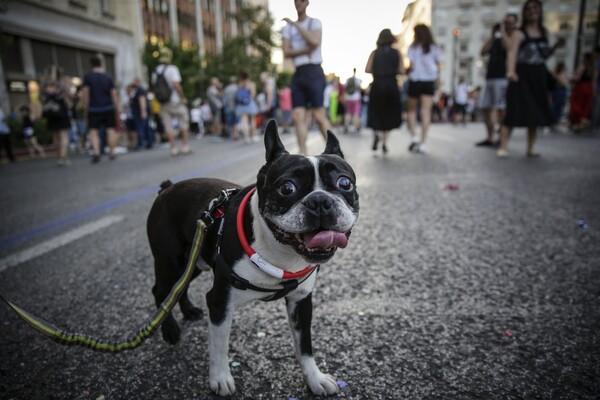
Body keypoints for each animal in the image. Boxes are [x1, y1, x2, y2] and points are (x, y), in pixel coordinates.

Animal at [147, 122, 358, 396]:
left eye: (345, 183)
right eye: (287, 188)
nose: (320, 200)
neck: (280, 253)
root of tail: (167, 188)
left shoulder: (301, 302)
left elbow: (305, 346)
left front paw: (315, 379)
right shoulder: (220, 302)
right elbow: (219, 346)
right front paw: (220, 379)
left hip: (194, 262)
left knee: (179, 286)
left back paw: (189, 311)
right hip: (170, 260)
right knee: (161, 289)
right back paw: (169, 329)